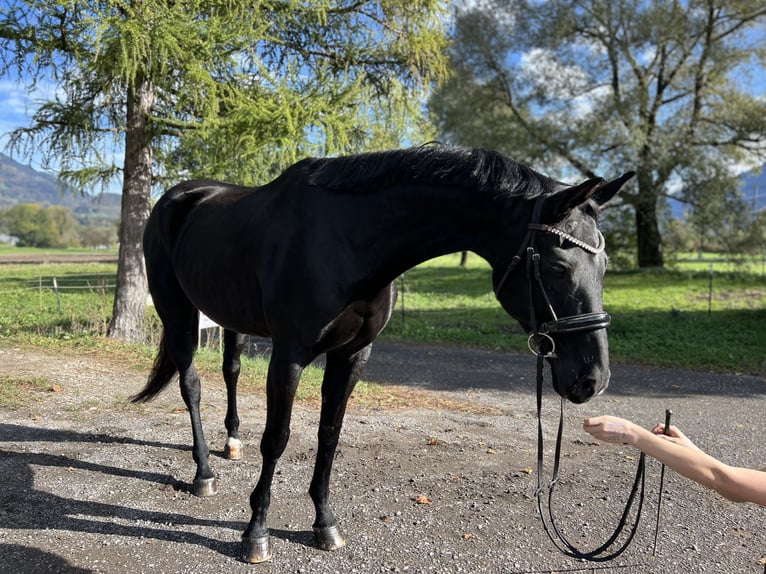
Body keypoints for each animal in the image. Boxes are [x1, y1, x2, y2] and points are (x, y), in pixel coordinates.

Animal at [134, 146, 636, 564]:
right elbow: (277, 439)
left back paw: (231, 442)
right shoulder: (290, 354)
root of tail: (177, 197)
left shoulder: (353, 355)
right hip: (178, 314)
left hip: (229, 317)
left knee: (231, 369)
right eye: (557, 266)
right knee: (191, 386)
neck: (347, 238)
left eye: (604, 267)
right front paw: (256, 533)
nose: (592, 379)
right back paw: (203, 473)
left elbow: (329, 436)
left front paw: (325, 524)